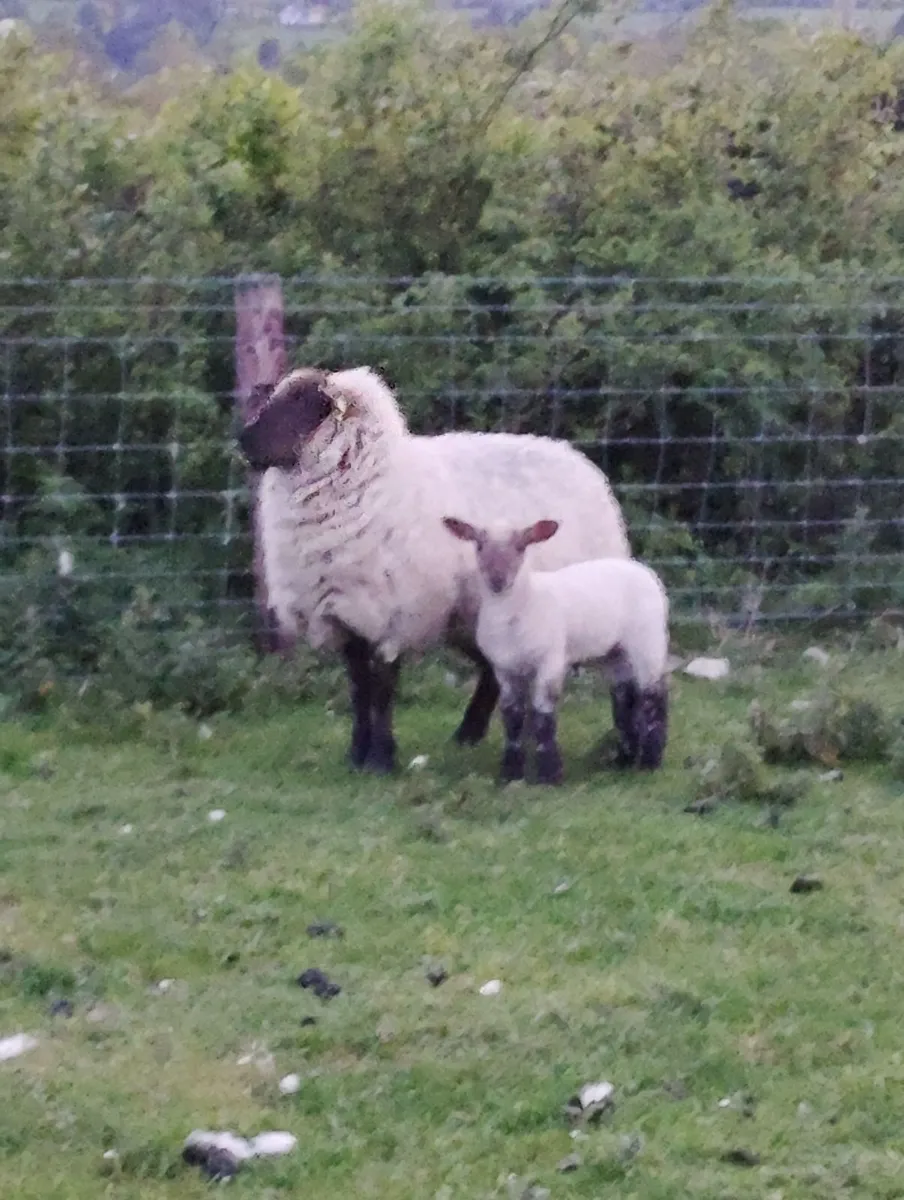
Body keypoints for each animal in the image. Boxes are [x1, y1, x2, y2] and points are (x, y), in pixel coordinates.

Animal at [238, 364, 631, 775]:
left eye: (304, 402)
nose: (243, 441)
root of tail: (576, 458)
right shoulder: (343, 614)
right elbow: (359, 688)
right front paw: (357, 754)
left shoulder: (392, 612)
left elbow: (382, 689)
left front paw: (381, 758)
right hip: (474, 616)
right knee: (492, 669)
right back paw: (468, 734)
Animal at [441, 516, 669, 785]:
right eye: (478, 545)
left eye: (521, 546)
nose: (497, 580)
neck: (523, 603)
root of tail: (643, 570)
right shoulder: (504, 669)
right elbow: (512, 717)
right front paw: (510, 773)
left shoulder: (550, 659)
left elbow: (543, 715)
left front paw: (549, 775)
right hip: (614, 651)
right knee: (625, 697)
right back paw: (623, 759)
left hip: (648, 638)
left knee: (654, 695)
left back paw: (650, 762)